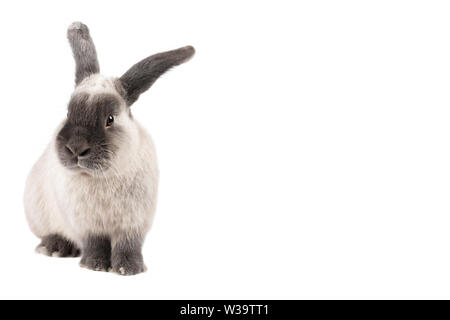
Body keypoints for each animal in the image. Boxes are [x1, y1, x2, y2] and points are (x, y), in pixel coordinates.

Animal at [23, 21, 195, 276]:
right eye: (68, 113)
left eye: (110, 119)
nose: (75, 149)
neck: (103, 176)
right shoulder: (87, 224)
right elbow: (96, 243)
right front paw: (94, 265)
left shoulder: (133, 223)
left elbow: (128, 245)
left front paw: (129, 268)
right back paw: (56, 247)